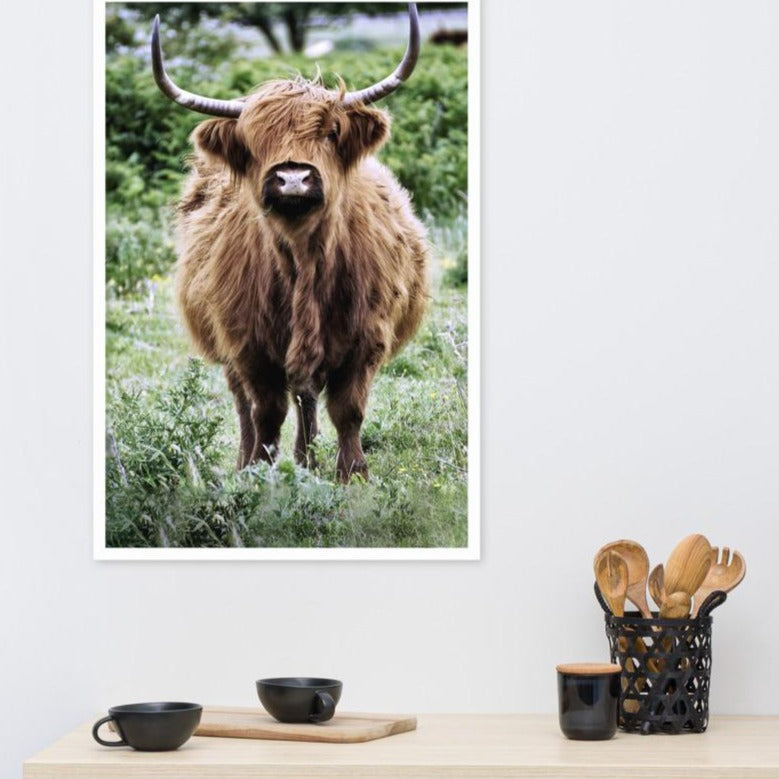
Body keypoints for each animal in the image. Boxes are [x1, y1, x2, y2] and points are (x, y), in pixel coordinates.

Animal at [151, 4, 430, 483]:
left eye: (331, 133)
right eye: (253, 141)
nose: (293, 178)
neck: (304, 259)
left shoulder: (366, 339)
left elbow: (347, 409)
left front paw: (352, 475)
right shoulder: (247, 345)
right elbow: (265, 411)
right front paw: (259, 474)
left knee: (307, 395)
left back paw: (306, 458)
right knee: (249, 404)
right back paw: (257, 461)